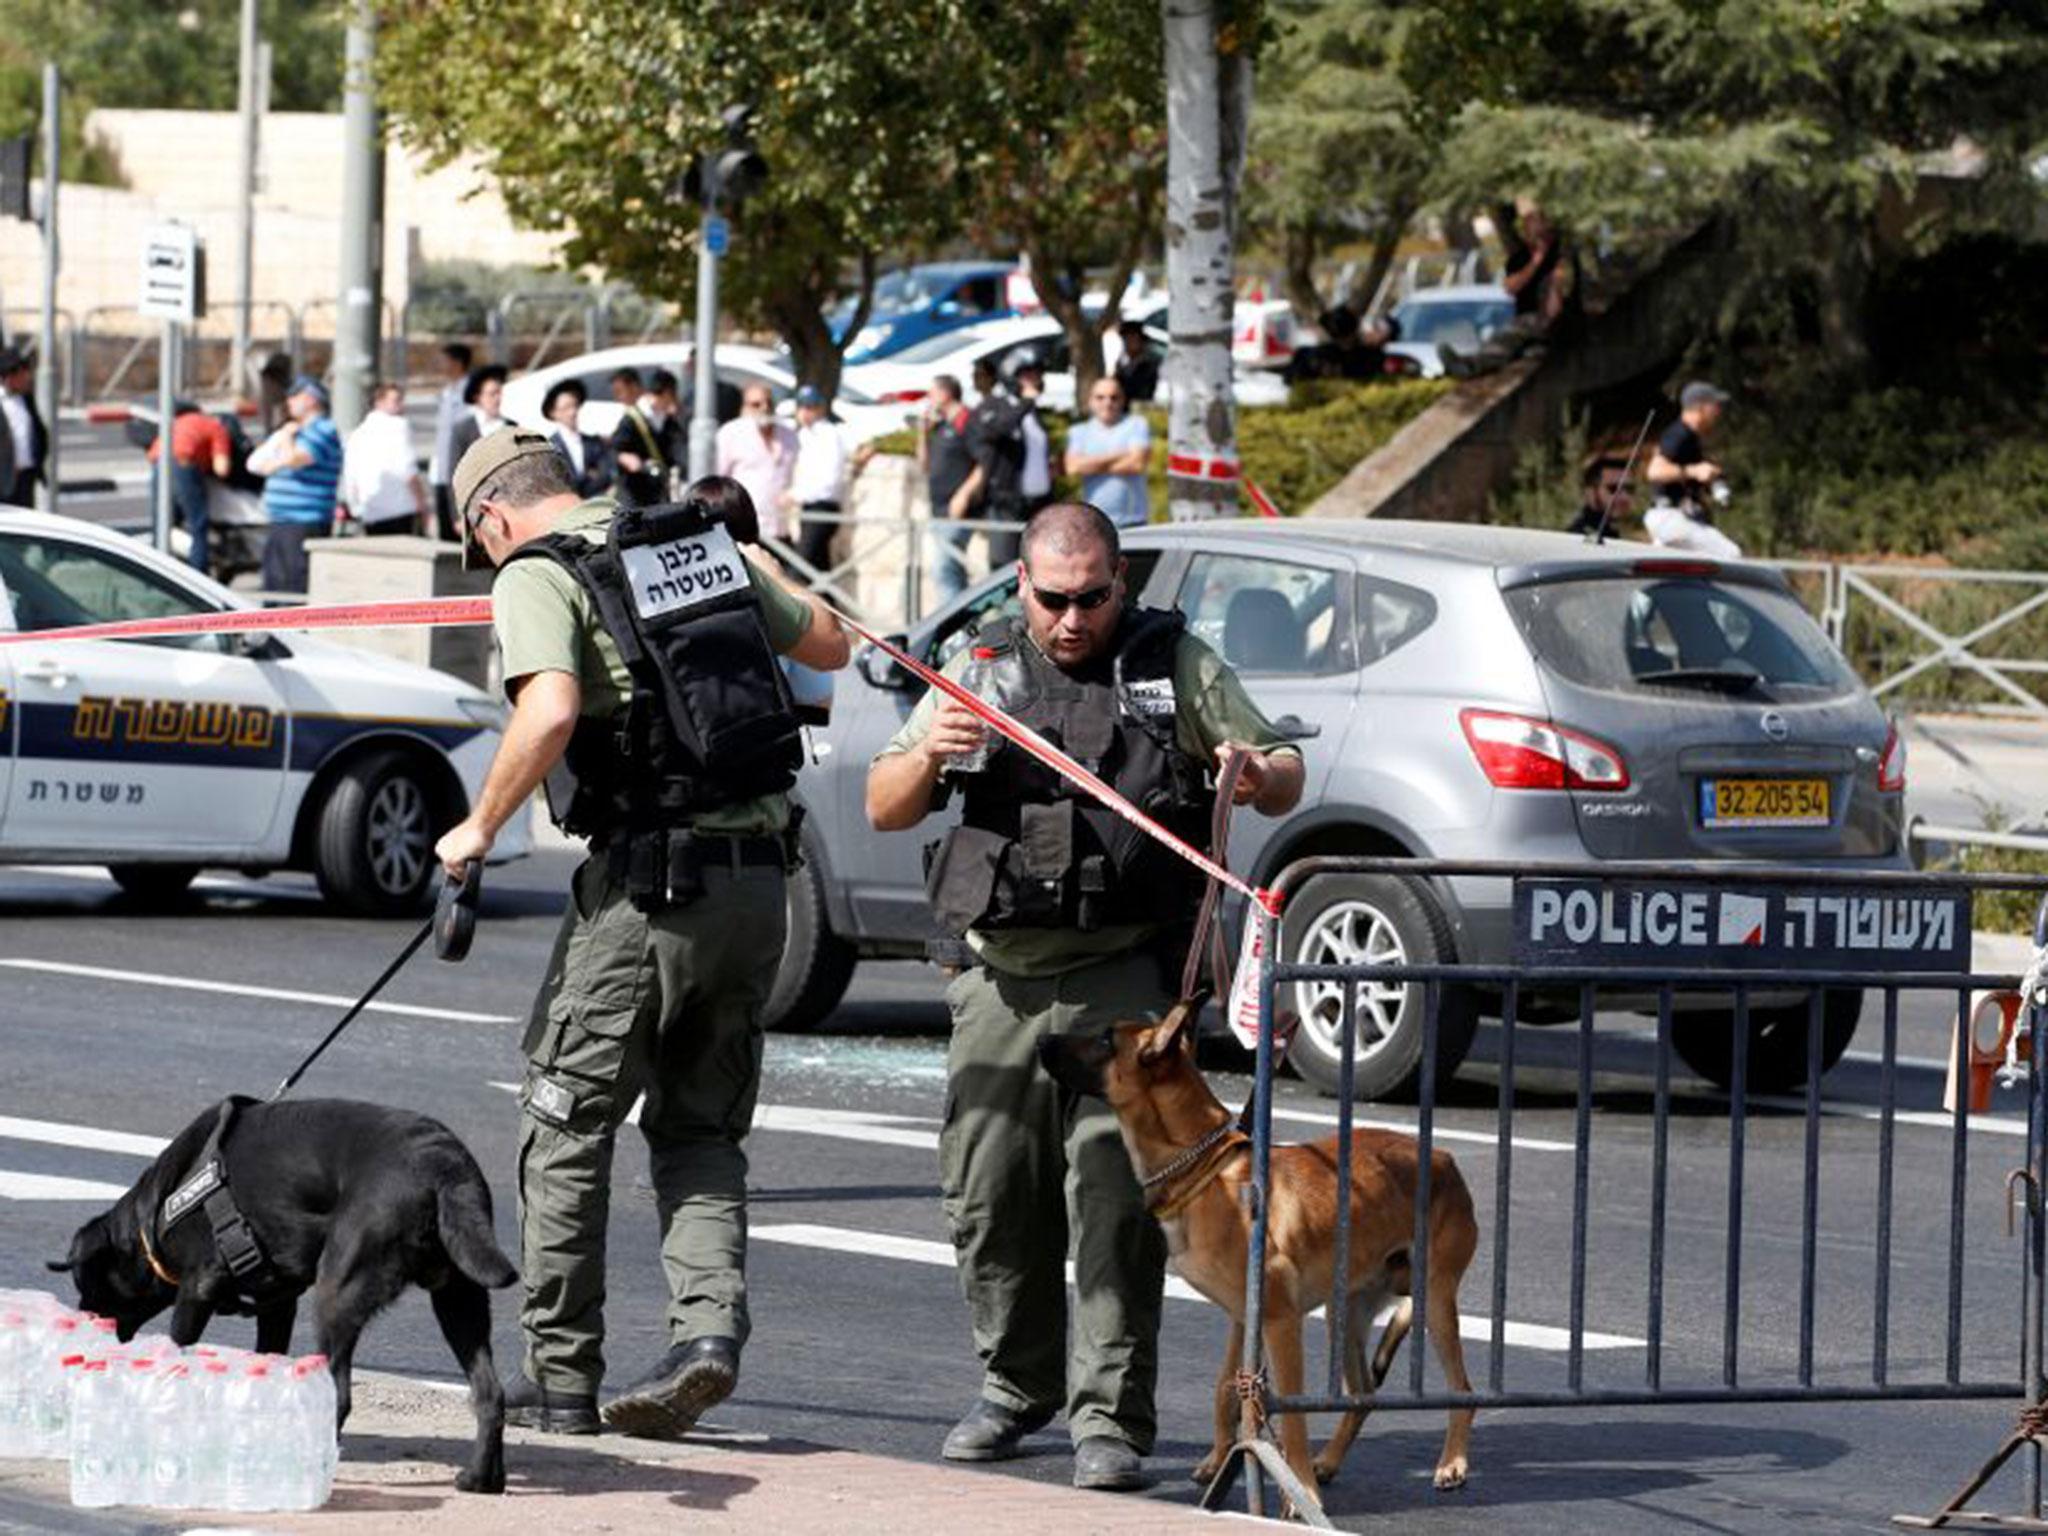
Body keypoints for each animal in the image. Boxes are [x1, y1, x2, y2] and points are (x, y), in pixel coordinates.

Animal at [51, 1097, 516, 1499]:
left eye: (85, 1283)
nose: (82, 1317)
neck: (157, 1210)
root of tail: (444, 1165)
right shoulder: (277, 1303)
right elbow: (266, 1358)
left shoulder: (197, 1289)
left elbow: (177, 1348)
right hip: (460, 1297)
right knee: (489, 1392)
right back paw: (482, 1478)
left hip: (336, 1292)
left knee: (339, 1394)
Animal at [1040, 999, 1474, 1515]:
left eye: (1105, 1040)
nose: (1041, 1040)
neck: (1202, 1168)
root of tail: (1445, 1158)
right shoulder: (1242, 1319)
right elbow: (1229, 1388)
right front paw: (1224, 1460)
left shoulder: (1279, 1323)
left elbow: (1291, 1417)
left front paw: (1298, 1489)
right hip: (1345, 1313)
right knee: (1363, 1395)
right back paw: (1331, 1461)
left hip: (1433, 1304)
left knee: (1463, 1390)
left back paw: (1451, 1464)